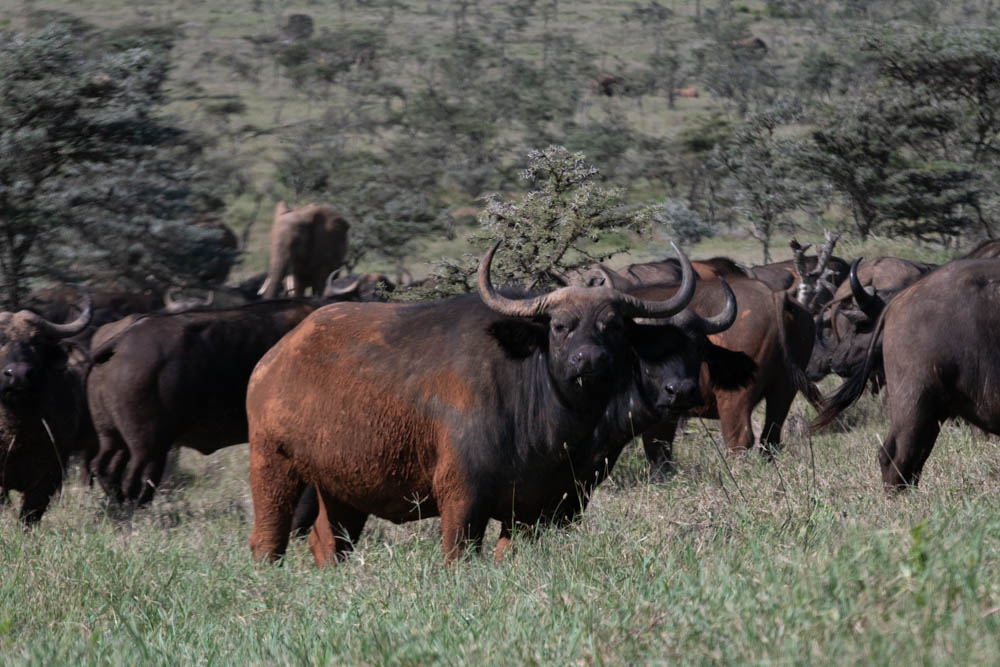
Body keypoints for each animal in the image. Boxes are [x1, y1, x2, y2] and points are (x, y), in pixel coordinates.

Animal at [246, 242, 753, 566]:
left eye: (614, 326)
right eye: (560, 326)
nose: (680, 391)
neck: (553, 423)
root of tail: (275, 359)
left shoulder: (552, 506)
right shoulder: (461, 501)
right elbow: (459, 555)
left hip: (340, 488)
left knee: (329, 544)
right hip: (271, 465)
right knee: (267, 539)